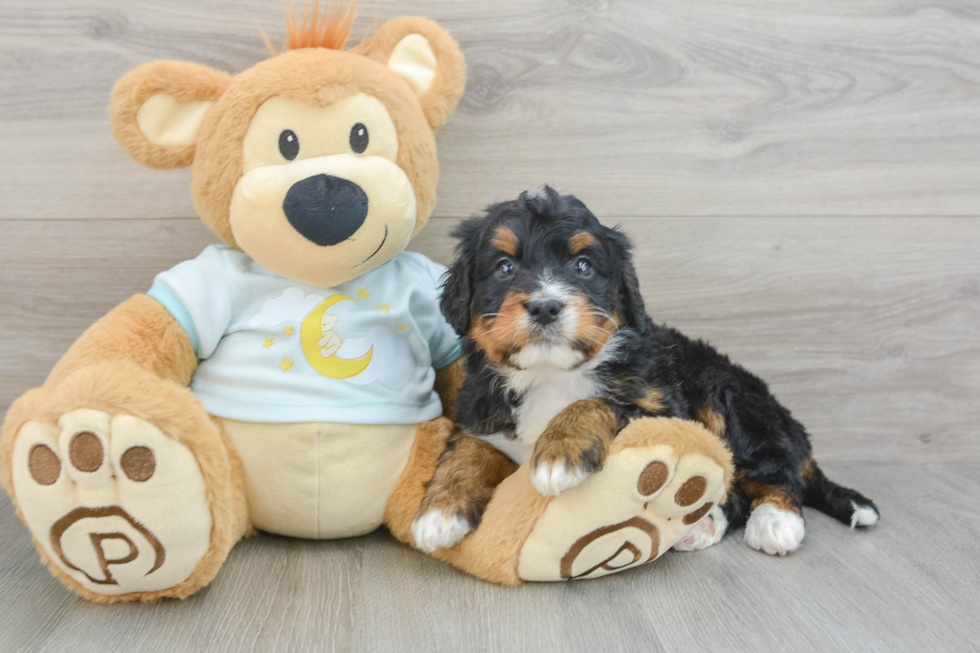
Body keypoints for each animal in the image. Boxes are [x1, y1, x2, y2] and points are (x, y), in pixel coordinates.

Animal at [412, 187, 880, 556]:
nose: (545, 306)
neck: (549, 375)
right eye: (505, 267)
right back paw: (706, 526)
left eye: (583, 266)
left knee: (776, 475)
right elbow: (467, 448)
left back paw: (775, 522)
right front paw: (439, 512)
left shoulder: (660, 407)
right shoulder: (480, 411)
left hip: (727, 396)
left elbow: (599, 401)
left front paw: (559, 452)